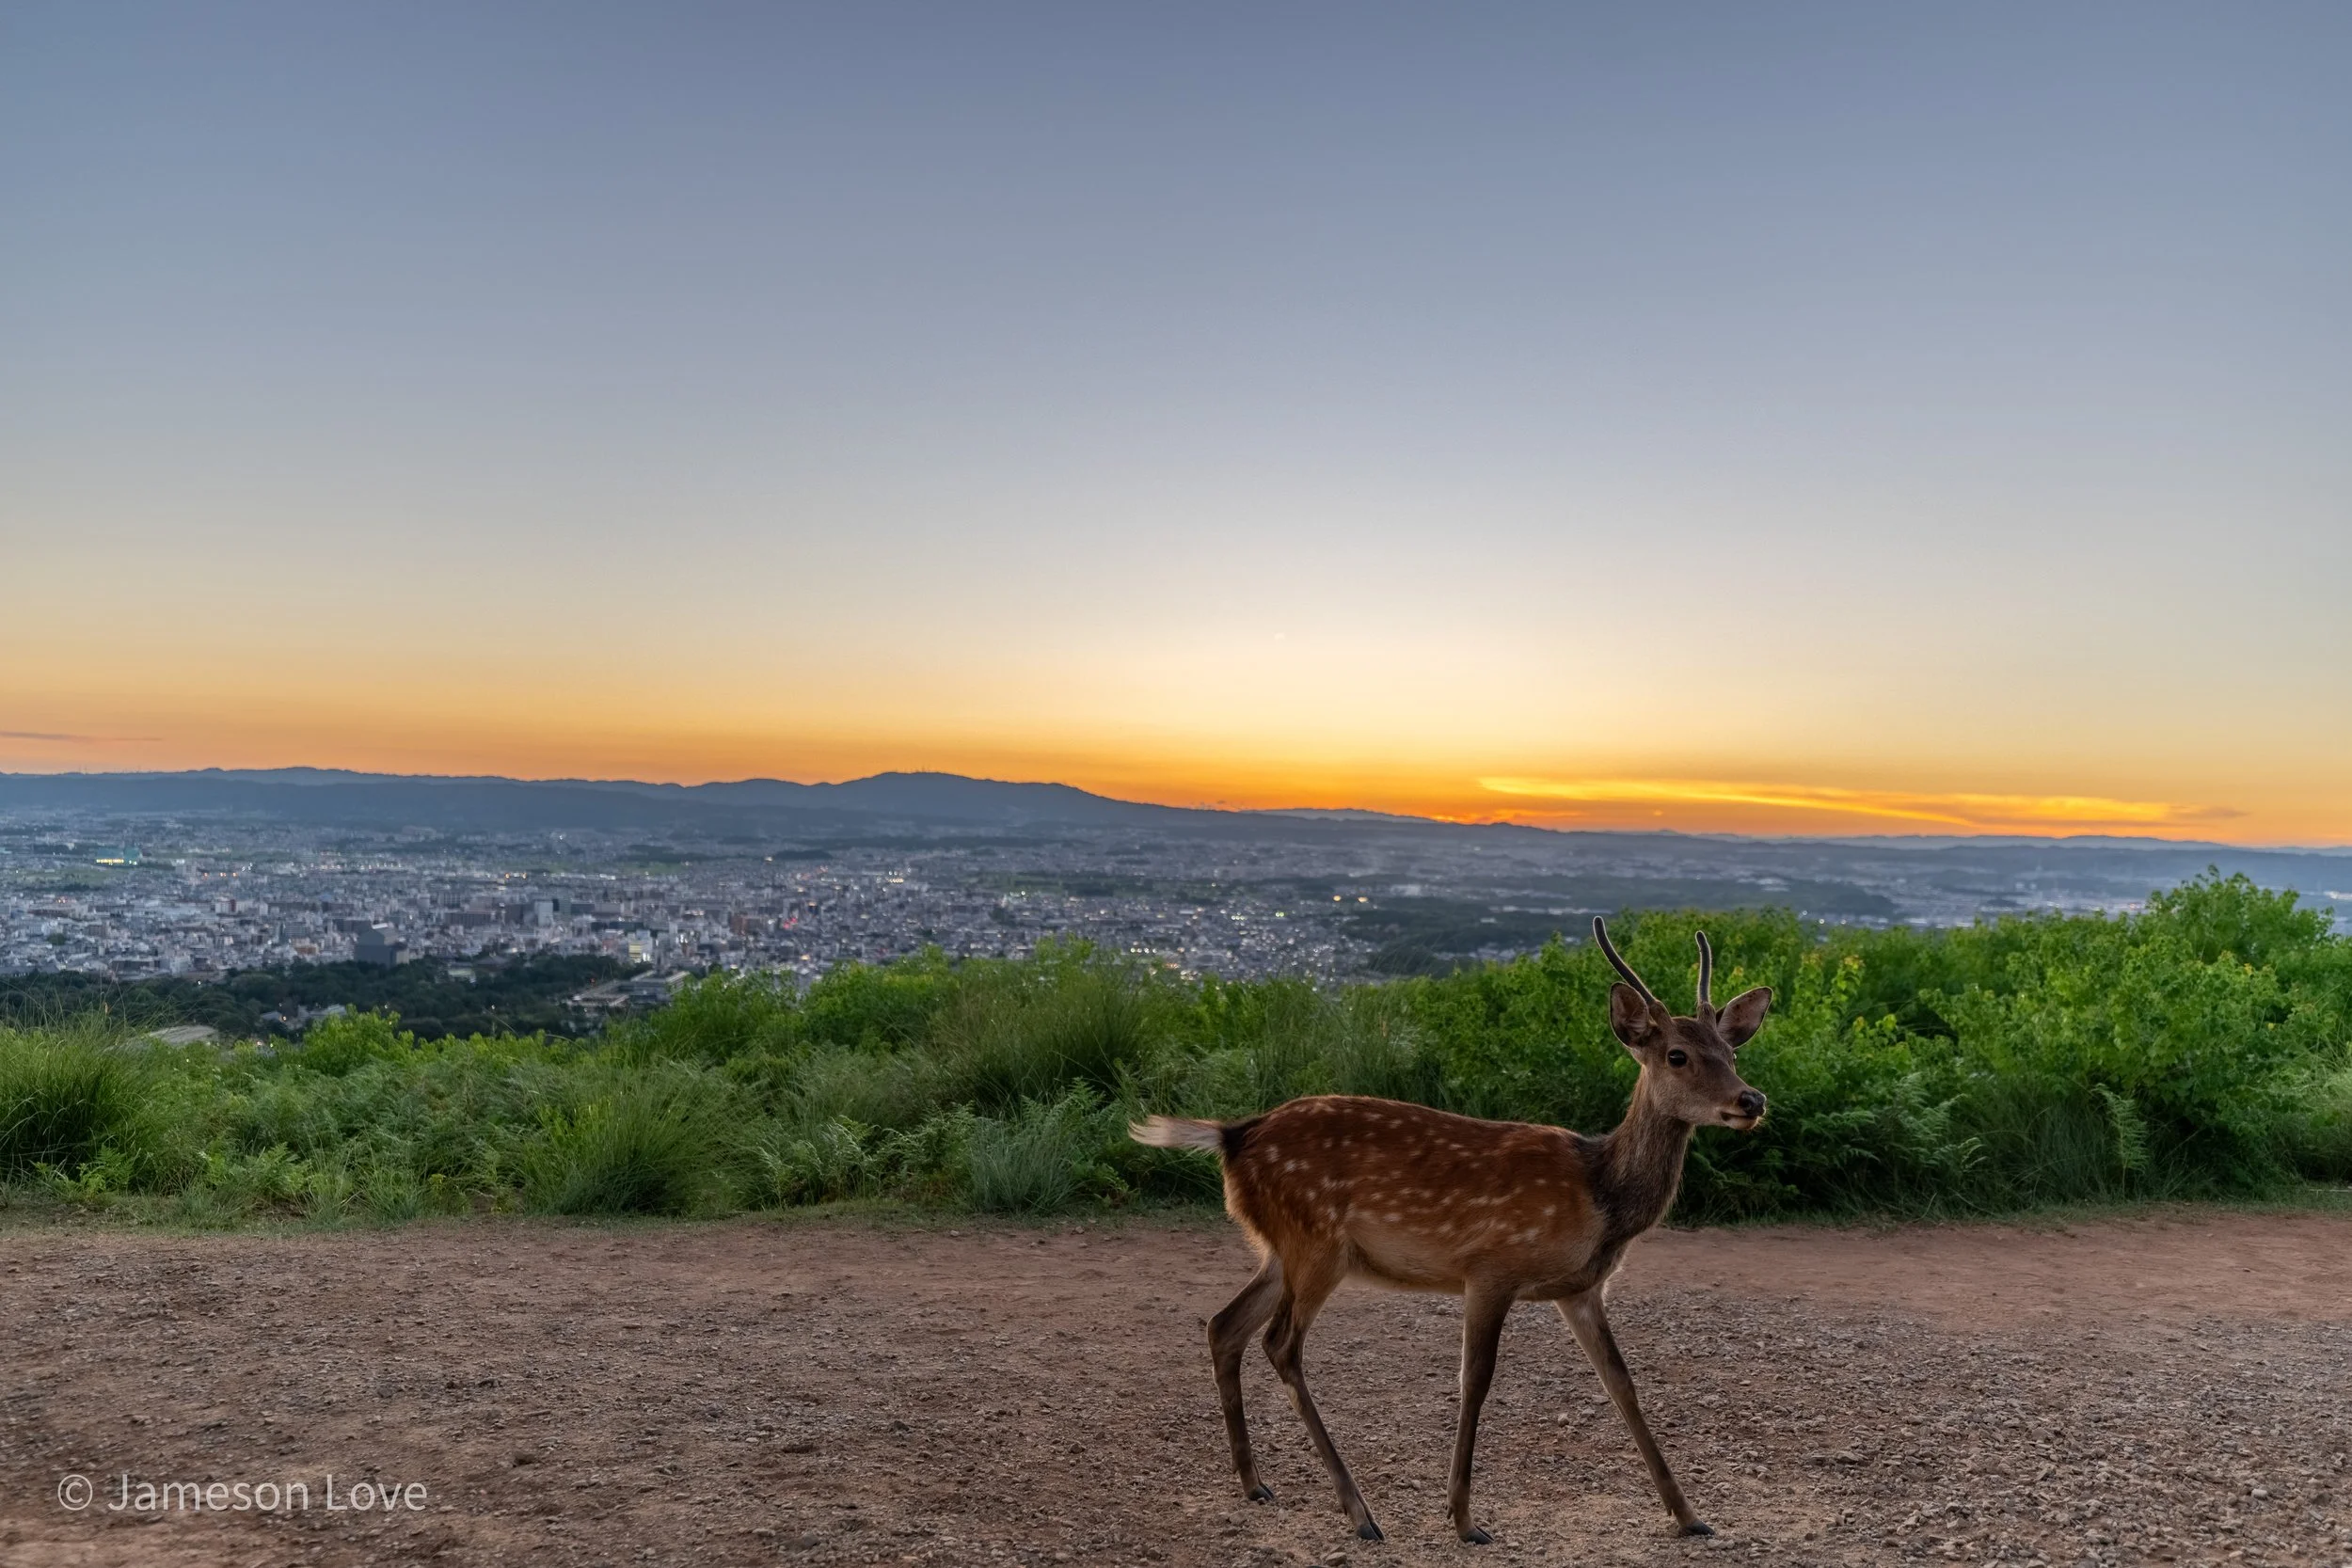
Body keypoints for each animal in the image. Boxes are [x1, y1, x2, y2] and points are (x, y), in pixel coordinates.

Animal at [1130, 917, 1770, 1547]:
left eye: (1731, 1051)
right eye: (1678, 1055)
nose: (1752, 1099)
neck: (1601, 1199)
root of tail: (1232, 1135)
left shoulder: (1581, 1289)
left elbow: (1622, 1383)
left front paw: (1689, 1515)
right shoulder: (1491, 1267)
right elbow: (1475, 1380)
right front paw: (1464, 1520)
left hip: (1280, 1249)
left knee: (1224, 1325)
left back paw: (1255, 1484)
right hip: (1316, 1241)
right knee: (1279, 1342)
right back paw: (1360, 1513)